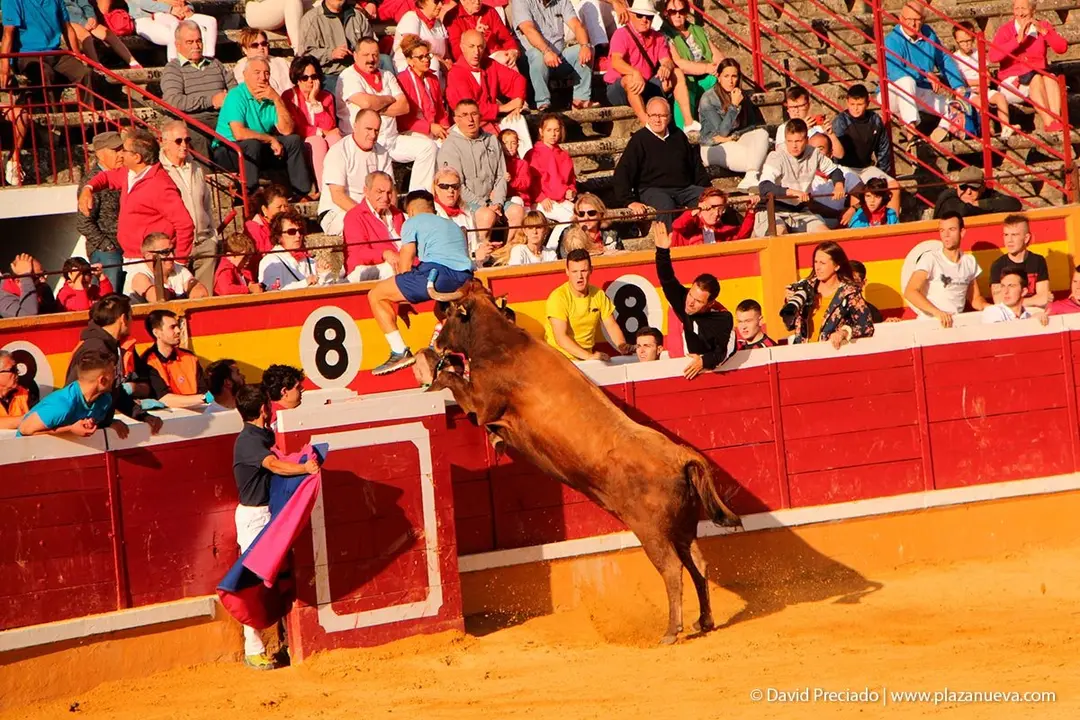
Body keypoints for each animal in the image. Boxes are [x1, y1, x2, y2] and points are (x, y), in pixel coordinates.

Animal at [414, 279, 742, 644]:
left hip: (652, 531)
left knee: (672, 569)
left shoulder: (481, 403)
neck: (502, 342)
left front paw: (433, 372)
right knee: (698, 564)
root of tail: (682, 456)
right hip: (683, 526)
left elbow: (454, 382)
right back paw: (704, 621)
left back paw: (672, 631)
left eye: (449, 315)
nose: (437, 342)